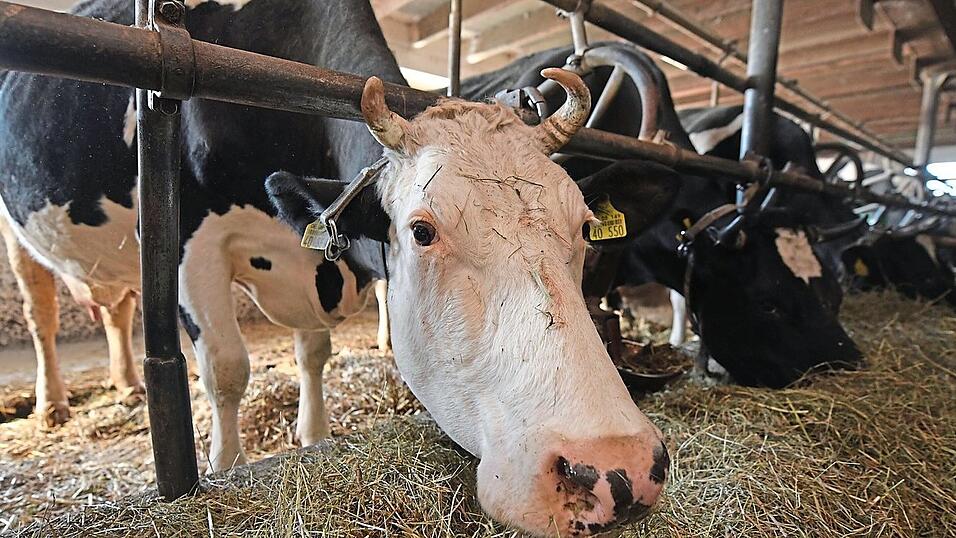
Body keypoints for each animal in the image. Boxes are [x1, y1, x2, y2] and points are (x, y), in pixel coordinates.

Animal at [1, 1, 673, 534]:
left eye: (583, 227)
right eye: (422, 231)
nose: (616, 470)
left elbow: (314, 353)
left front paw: (314, 436)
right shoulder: (185, 238)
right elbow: (226, 369)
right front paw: (223, 468)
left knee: (114, 308)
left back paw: (125, 383)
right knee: (42, 313)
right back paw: (54, 404)